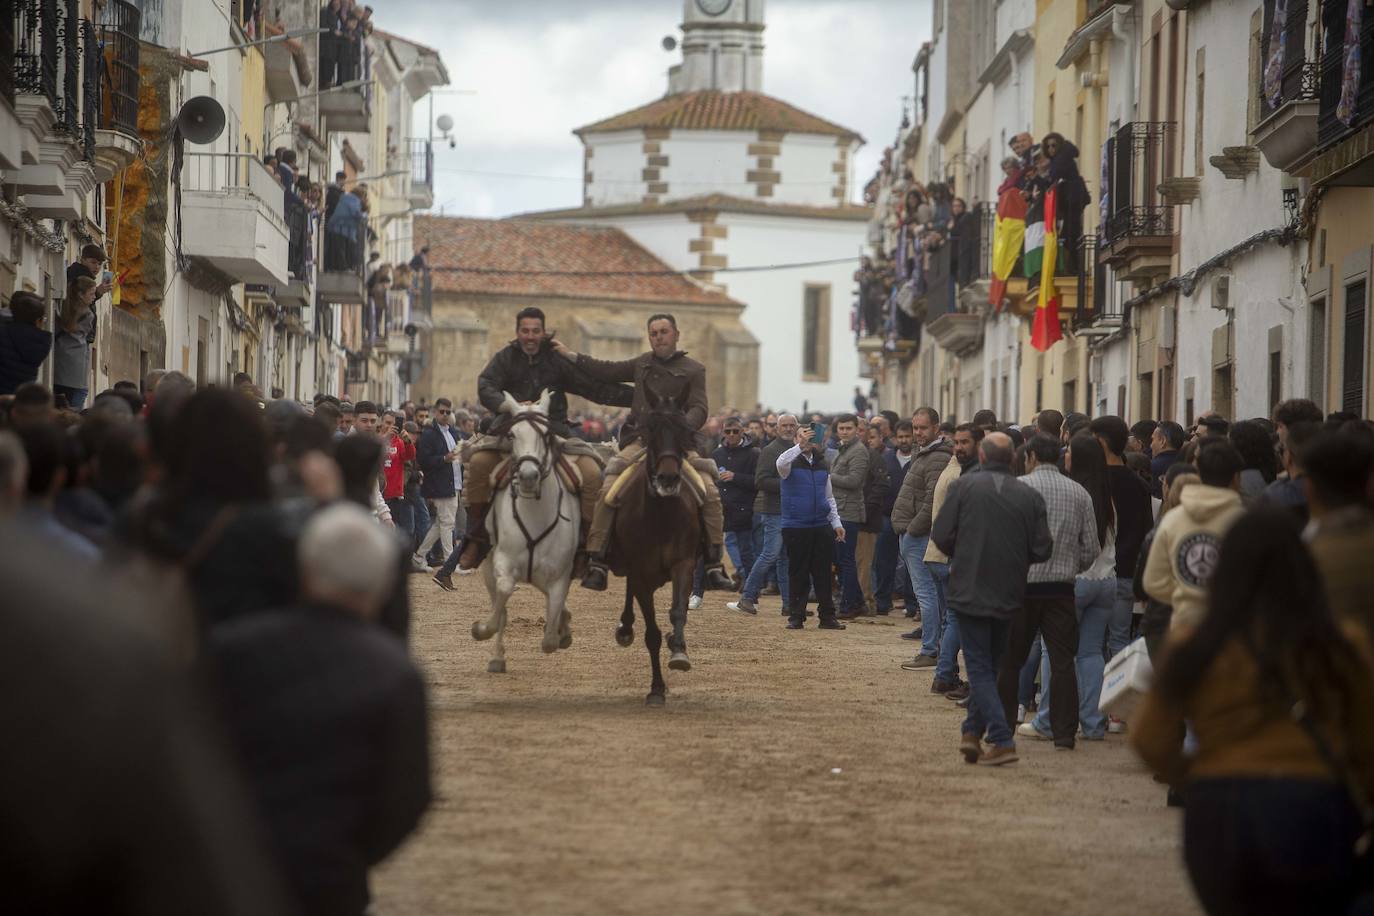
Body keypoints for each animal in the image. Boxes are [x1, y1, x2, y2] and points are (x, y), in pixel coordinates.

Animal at [472, 390, 579, 672]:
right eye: (511, 435)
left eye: (547, 434)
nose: (529, 476)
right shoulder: (503, 563)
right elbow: (504, 596)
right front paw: (481, 629)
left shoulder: (559, 576)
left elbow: (550, 640)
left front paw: (561, 629)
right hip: (487, 566)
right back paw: (497, 657)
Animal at [610, 390, 703, 708]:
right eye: (650, 431)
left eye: (685, 431)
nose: (668, 478)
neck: (662, 514)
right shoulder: (640, 573)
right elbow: (651, 634)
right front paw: (656, 689)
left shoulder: (684, 564)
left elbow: (678, 611)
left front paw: (679, 651)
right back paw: (625, 628)